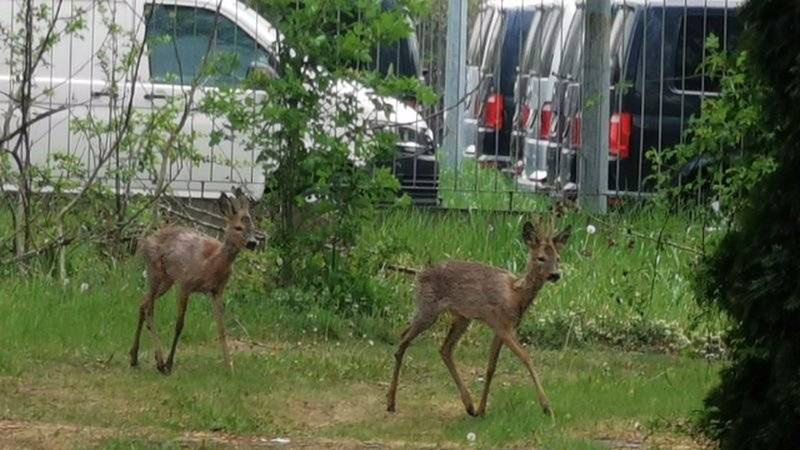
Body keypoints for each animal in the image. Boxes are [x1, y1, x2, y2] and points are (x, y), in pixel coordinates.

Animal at [130, 188, 258, 374]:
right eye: (238, 227)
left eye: (253, 227)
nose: (253, 243)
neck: (212, 262)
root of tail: (145, 240)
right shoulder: (186, 283)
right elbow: (179, 324)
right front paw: (169, 363)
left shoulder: (217, 290)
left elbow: (221, 327)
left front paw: (229, 367)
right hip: (155, 271)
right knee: (150, 309)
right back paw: (160, 361)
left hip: (168, 280)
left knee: (143, 302)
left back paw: (134, 358)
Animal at [386, 218, 568, 418]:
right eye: (540, 258)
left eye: (558, 258)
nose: (555, 275)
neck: (515, 295)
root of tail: (419, 273)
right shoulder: (502, 325)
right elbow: (526, 357)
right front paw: (546, 406)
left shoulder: (501, 329)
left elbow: (490, 368)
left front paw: (481, 409)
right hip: (428, 308)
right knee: (404, 339)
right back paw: (391, 402)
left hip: (462, 317)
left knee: (444, 348)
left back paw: (469, 406)